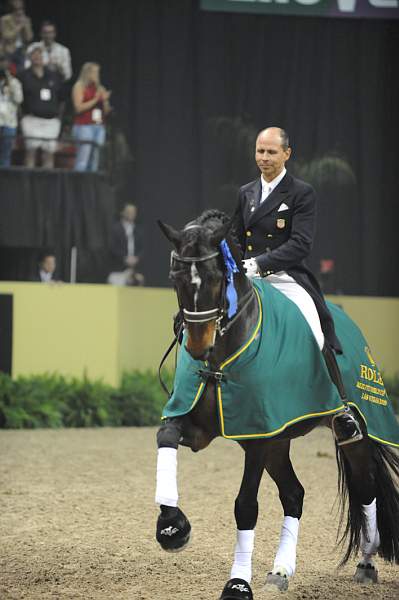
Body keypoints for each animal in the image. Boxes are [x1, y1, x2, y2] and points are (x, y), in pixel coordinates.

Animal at [154, 209, 399, 596]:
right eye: (175, 277)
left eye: (216, 278)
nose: (197, 346)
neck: (222, 357)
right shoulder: (195, 424)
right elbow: (165, 436)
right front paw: (172, 526)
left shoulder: (258, 437)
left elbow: (245, 506)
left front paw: (237, 584)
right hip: (280, 439)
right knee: (294, 494)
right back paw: (281, 570)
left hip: (353, 429)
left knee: (365, 486)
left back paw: (366, 563)